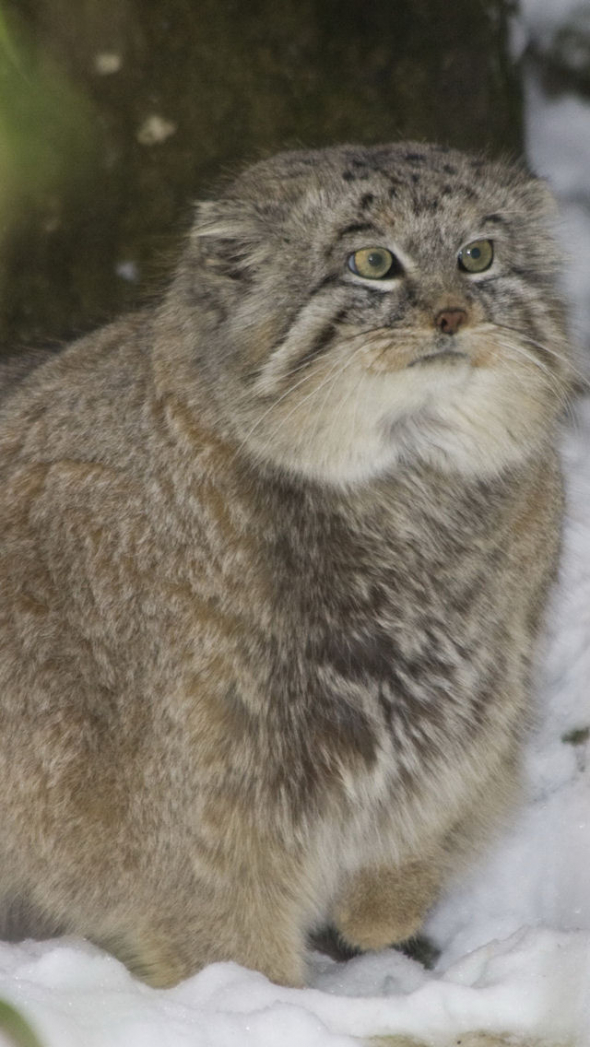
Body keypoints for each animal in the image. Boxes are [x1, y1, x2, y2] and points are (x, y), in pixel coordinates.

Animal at [0, 143, 573, 984]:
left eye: (478, 255)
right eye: (372, 262)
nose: (453, 315)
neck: (406, 496)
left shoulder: (474, 704)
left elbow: (432, 813)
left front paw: (383, 904)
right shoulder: (201, 795)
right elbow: (223, 933)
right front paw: (260, 995)